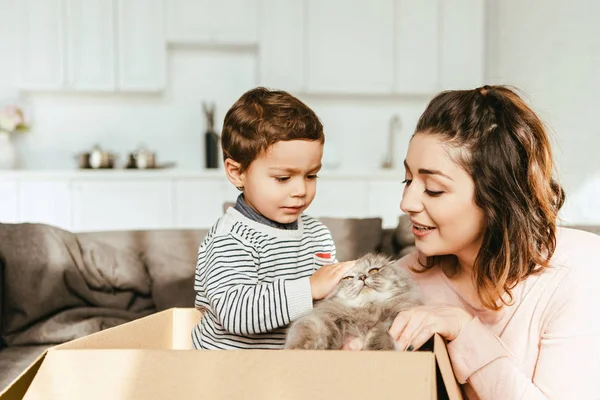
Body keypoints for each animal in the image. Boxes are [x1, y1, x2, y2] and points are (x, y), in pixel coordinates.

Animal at [284, 253, 422, 350]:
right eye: (348, 278)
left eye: (374, 270)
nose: (362, 277)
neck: (368, 310)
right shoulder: (324, 318)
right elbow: (308, 328)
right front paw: (301, 347)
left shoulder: (392, 317)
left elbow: (379, 332)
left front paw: (379, 348)